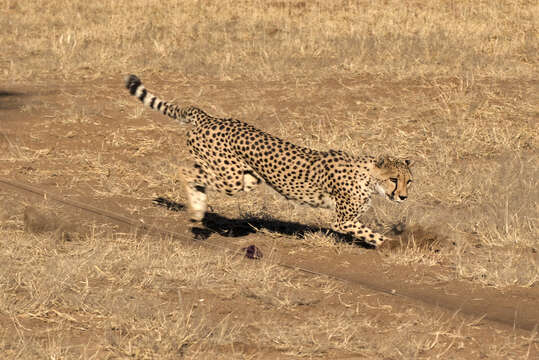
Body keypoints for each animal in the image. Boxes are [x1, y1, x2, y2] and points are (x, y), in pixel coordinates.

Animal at [126, 73, 414, 248]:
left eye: (408, 181)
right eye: (393, 180)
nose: (403, 197)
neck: (367, 177)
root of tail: (209, 117)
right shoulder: (342, 220)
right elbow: (371, 234)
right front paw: (394, 246)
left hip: (243, 178)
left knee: (197, 176)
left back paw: (198, 213)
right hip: (230, 179)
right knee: (184, 172)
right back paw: (196, 211)